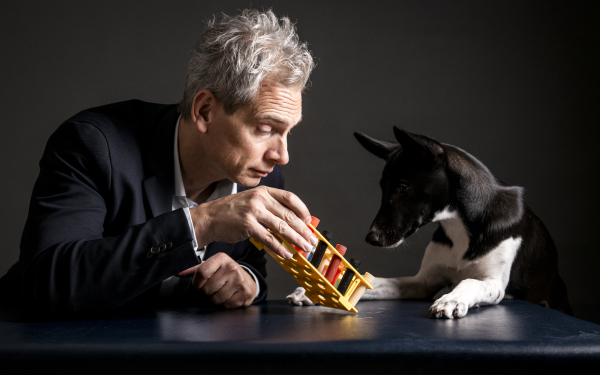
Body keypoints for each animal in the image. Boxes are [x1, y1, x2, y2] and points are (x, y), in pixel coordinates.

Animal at [354, 128, 576, 318]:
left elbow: (470, 282)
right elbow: (379, 283)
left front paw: (450, 299)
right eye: (383, 188)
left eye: (402, 188)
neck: (458, 225)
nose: (371, 237)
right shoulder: (423, 283)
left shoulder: (494, 284)